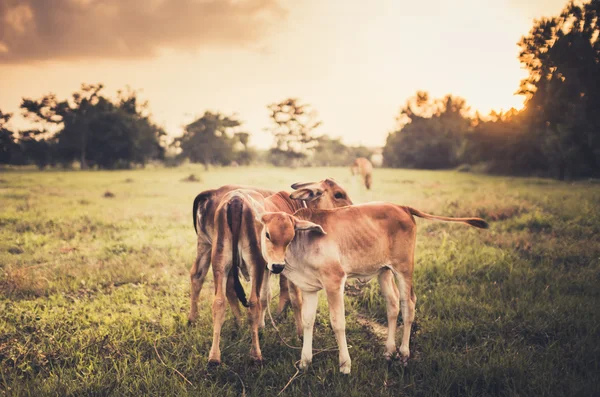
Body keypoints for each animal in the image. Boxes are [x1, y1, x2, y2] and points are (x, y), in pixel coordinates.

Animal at [247, 200, 488, 372]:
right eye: (267, 234)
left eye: (290, 237)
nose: (277, 266)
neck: (303, 246)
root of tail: (402, 207)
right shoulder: (309, 288)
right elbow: (307, 322)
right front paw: (305, 362)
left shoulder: (334, 281)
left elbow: (338, 323)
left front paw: (345, 365)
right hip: (384, 271)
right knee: (393, 304)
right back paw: (389, 351)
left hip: (403, 268)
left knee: (408, 304)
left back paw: (404, 353)